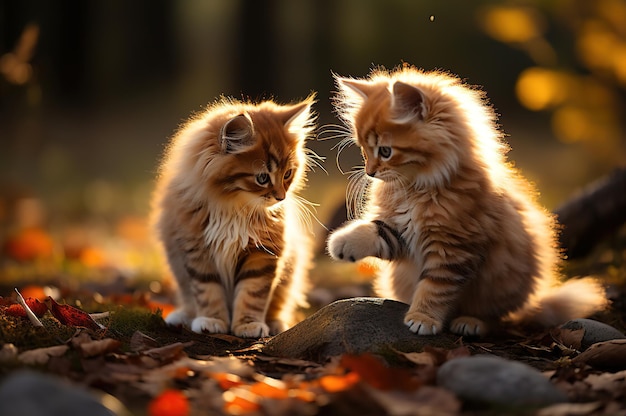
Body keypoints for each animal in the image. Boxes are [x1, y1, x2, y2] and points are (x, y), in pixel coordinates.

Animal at [152, 96, 316, 336]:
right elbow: (207, 291)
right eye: (262, 178)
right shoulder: (197, 250)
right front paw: (211, 321)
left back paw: (275, 323)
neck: (233, 207)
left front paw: (248, 324)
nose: (281, 197)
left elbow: (253, 294)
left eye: (287, 174)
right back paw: (181, 317)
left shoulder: (263, 253)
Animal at [326, 66, 604, 338]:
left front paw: (423, 319)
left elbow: (435, 288)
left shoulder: (452, 248)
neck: (416, 188)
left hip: (502, 284)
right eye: (364, 151)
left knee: (497, 318)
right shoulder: (401, 232)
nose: (370, 172)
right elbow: (376, 230)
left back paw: (471, 323)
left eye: (385, 151)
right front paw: (341, 243)